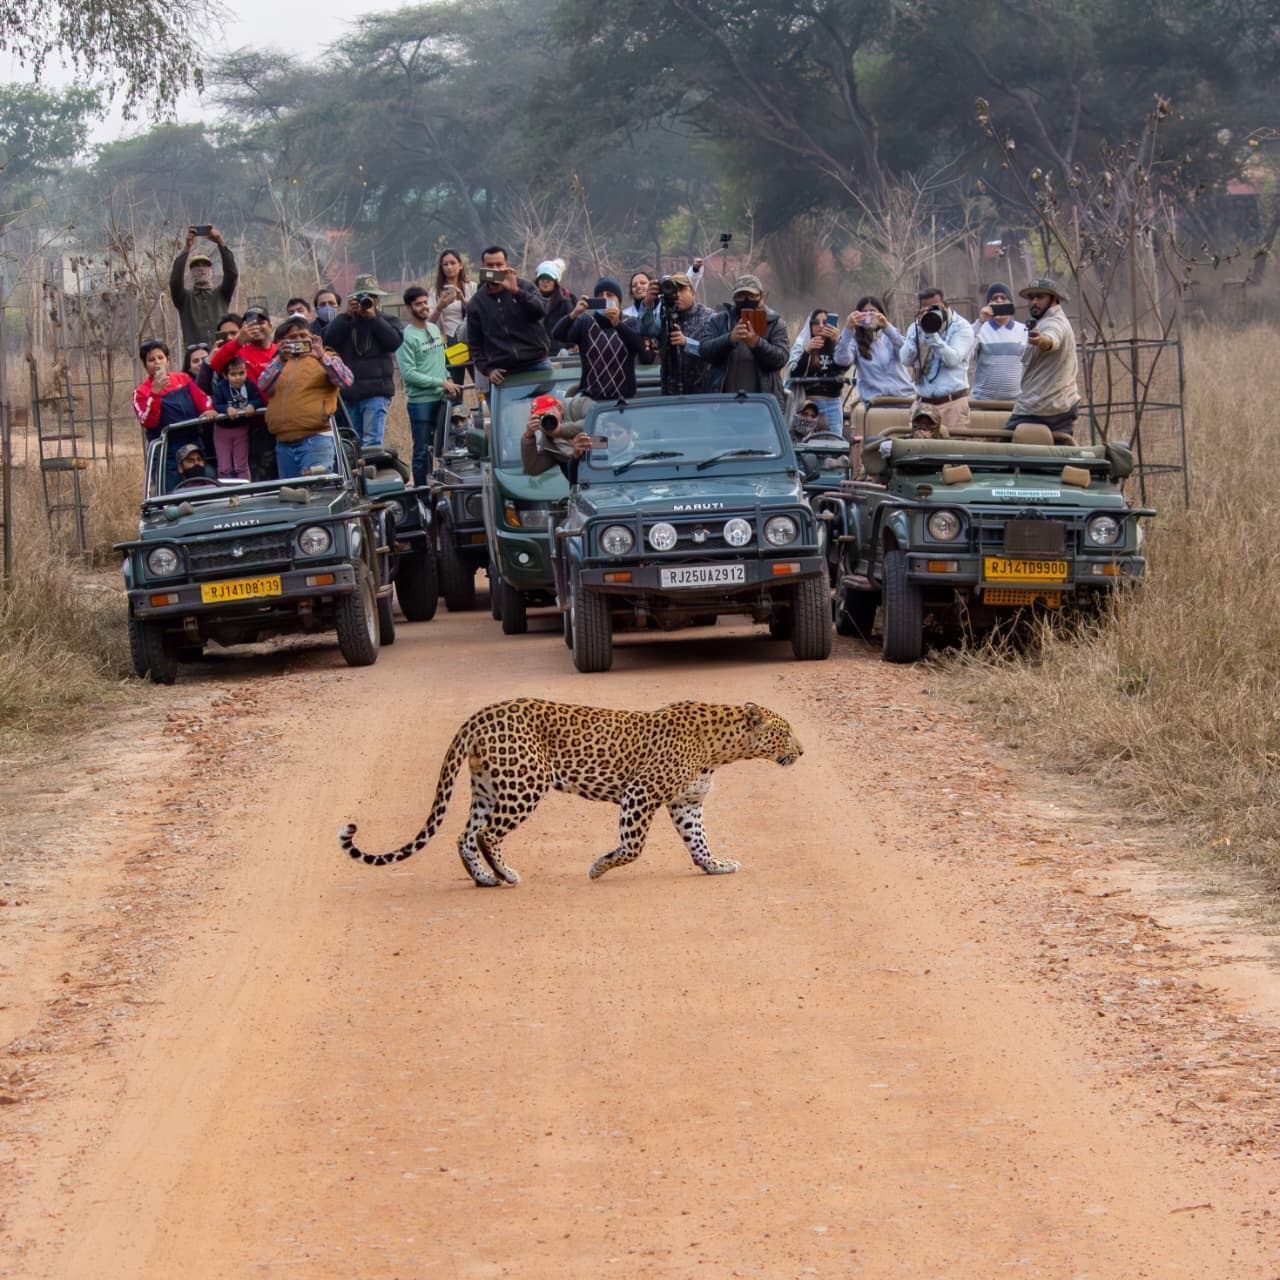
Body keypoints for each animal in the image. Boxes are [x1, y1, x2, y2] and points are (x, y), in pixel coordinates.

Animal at [339, 697, 802, 886]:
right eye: (785, 732)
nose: (802, 750)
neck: (722, 747)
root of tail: (480, 715)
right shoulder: (640, 793)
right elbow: (633, 847)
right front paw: (598, 867)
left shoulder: (686, 803)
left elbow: (698, 841)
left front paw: (714, 865)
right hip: (525, 783)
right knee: (486, 834)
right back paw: (505, 875)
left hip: (489, 786)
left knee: (464, 836)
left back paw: (484, 879)